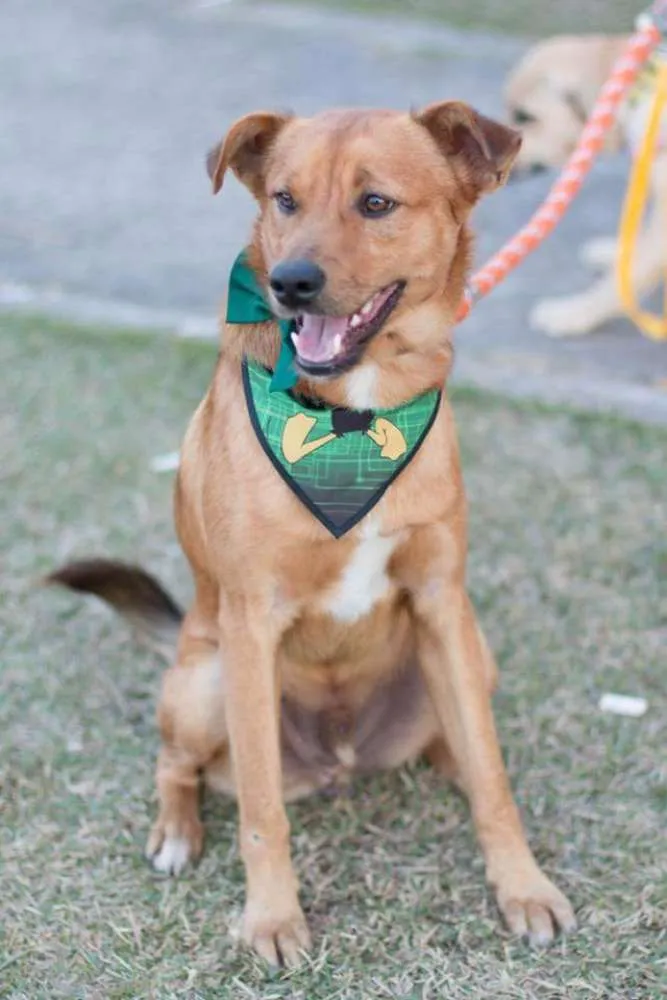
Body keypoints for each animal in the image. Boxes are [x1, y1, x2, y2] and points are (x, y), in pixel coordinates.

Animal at [51, 103, 576, 968]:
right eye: (285, 199)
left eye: (376, 203)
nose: (289, 283)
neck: (350, 420)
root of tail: (338, 759)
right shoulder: (251, 622)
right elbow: (262, 810)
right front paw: (271, 919)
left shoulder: (441, 598)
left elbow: (494, 780)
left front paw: (523, 888)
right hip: (207, 676)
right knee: (180, 765)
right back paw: (176, 832)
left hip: (474, 651)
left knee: (462, 737)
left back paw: (449, 758)